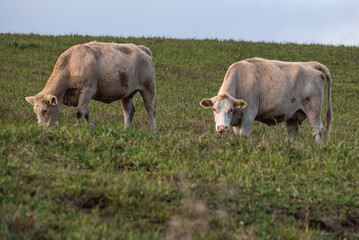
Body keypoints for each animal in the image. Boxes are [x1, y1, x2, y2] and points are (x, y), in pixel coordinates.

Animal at [23, 41, 156, 131]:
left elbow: (80, 112)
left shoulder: (87, 90)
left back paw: (154, 131)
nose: (41, 128)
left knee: (150, 108)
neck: (71, 66)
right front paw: (91, 128)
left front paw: (77, 128)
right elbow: (86, 112)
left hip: (148, 88)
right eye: (35, 111)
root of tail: (141, 48)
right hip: (127, 93)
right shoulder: (80, 96)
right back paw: (126, 130)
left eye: (45, 110)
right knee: (128, 111)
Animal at [198, 57, 334, 144]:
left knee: (317, 130)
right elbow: (237, 135)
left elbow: (243, 135)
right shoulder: (237, 120)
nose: (222, 128)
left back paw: (317, 148)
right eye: (214, 109)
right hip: (292, 114)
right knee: (292, 132)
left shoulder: (249, 115)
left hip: (313, 110)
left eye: (231, 109)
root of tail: (310, 64)